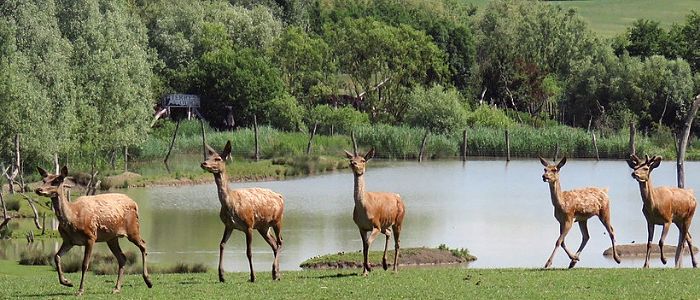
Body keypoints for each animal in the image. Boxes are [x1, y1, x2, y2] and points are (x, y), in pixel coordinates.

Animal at [34, 166, 152, 296]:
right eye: (44, 180)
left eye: (57, 180)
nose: (39, 189)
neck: (73, 217)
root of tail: (135, 204)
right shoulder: (69, 241)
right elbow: (56, 256)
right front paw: (67, 282)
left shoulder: (91, 237)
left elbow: (85, 264)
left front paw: (80, 290)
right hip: (111, 238)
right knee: (122, 257)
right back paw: (117, 288)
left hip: (133, 229)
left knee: (143, 244)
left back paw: (148, 281)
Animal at [200, 139, 284, 282]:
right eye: (208, 157)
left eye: (218, 158)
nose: (203, 163)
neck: (231, 205)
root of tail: (280, 196)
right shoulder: (229, 225)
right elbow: (221, 244)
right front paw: (221, 276)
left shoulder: (248, 225)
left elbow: (249, 252)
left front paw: (253, 276)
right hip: (263, 227)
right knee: (274, 244)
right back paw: (275, 273)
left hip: (277, 220)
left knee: (280, 242)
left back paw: (275, 272)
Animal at [344, 135, 404, 276]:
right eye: (351, 158)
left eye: (362, 160)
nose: (352, 163)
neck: (364, 209)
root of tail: (399, 197)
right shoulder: (361, 227)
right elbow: (364, 246)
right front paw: (364, 271)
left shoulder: (375, 224)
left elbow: (368, 243)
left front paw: (369, 267)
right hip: (384, 224)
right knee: (388, 233)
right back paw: (385, 264)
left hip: (398, 221)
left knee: (397, 243)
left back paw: (394, 269)